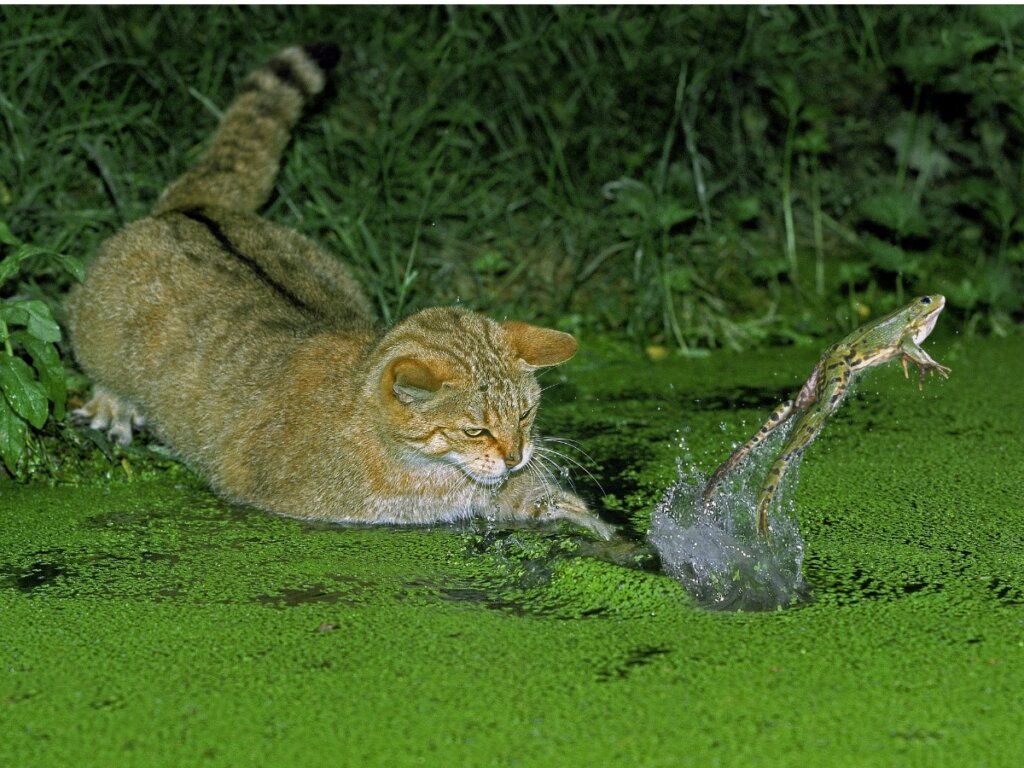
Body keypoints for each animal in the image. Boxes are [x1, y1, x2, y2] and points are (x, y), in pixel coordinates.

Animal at [68, 40, 610, 536]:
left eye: (526, 414)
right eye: (474, 430)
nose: (517, 457)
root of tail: (196, 208)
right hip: (92, 326)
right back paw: (114, 402)